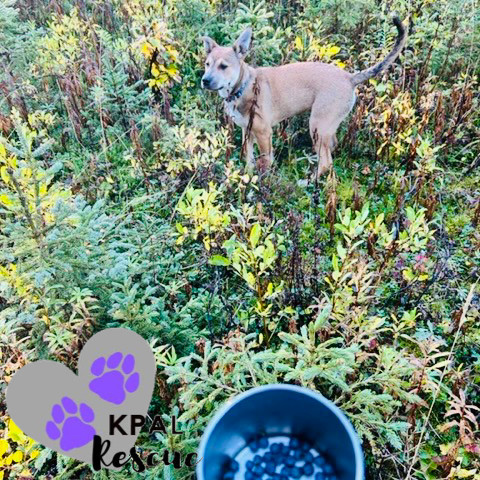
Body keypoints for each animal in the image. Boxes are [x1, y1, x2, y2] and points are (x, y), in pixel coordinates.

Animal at [201, 16, 406, 179]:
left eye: (223, 66)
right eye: (207, 64)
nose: (205, 80)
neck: (242, 86)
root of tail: (349, 78)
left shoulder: (264, 133)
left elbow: (266, 161)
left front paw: (263, 181)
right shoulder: (247, 131)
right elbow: (249, 158)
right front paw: (248, 176)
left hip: (317, 124)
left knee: (326, 162)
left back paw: (310, 181)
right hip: (325, 127)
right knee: (330, 148)